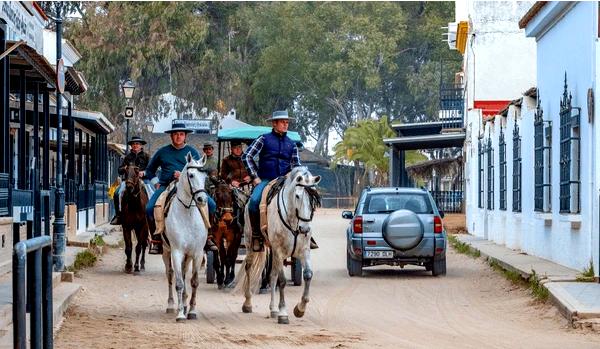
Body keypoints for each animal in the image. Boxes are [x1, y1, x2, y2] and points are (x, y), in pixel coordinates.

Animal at [163, 152, 210, 320]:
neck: (188, 213)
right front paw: (180, 314)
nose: (202, 199)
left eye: (205, 176)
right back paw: (172, 305)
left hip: (188, 256)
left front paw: (192, 311)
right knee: (170, 275)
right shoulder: (176, 252)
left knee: (183, 274)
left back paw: (183, 304)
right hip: (167, 252)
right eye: (191, 175)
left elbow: (194, 281)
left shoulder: (197, 253)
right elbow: (178, 283)